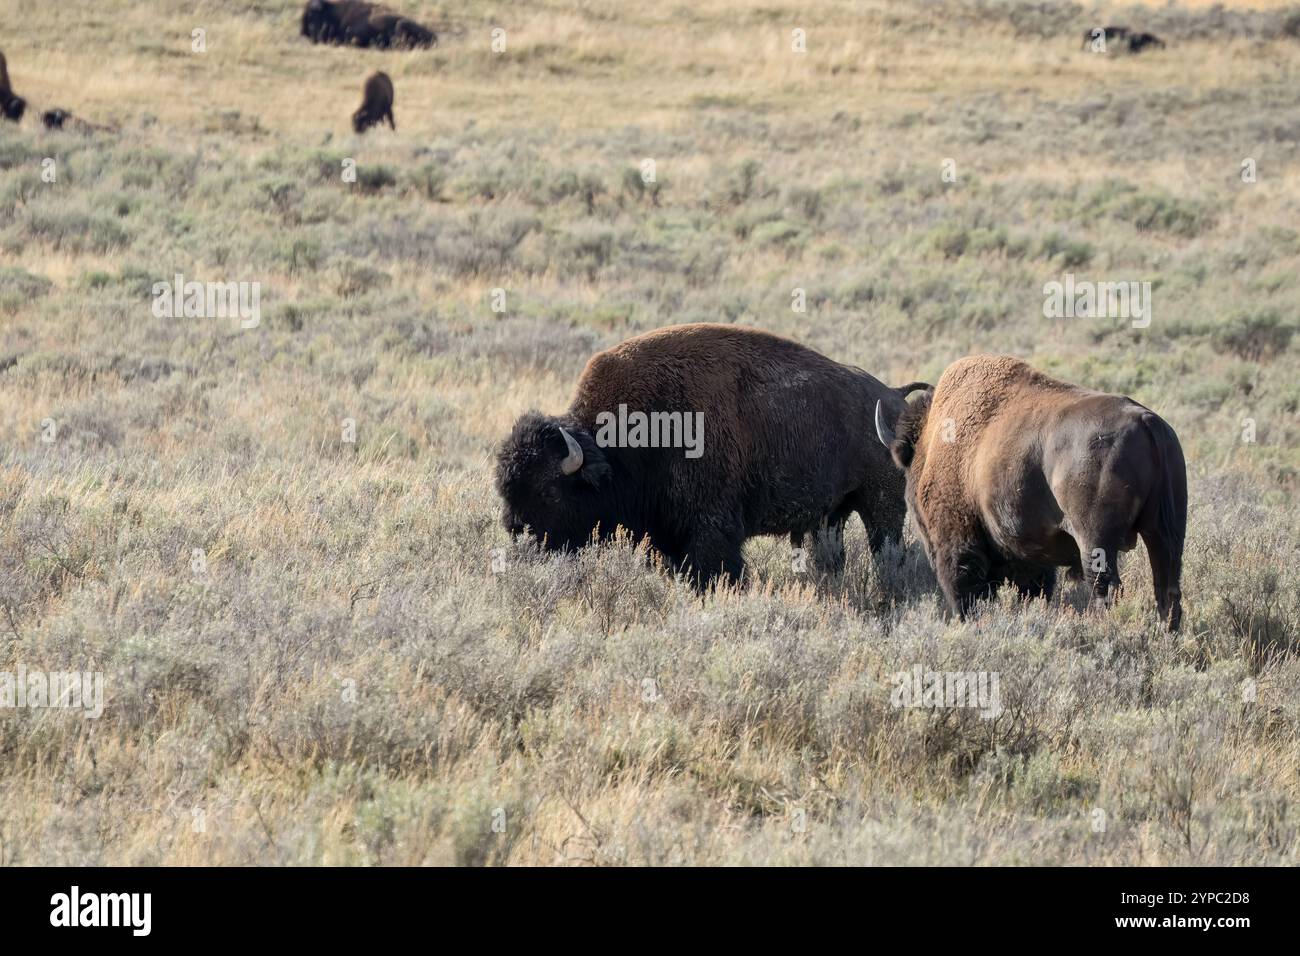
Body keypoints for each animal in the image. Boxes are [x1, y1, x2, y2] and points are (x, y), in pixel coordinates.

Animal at [491, 325, 930, 587]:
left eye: (549, 491)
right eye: (505, 490)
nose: (520, 536)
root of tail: (893, 396)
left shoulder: (710, 528)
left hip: (881, 505)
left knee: (887, 551)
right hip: (831, 516)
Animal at [873, 356, 1190, 632]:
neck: (932, 443)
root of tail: (1148, 422)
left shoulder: (958, 542)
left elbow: (966, 589)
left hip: (1096, 540)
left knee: (1105, 587)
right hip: (1165, 533)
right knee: (1167, 590)